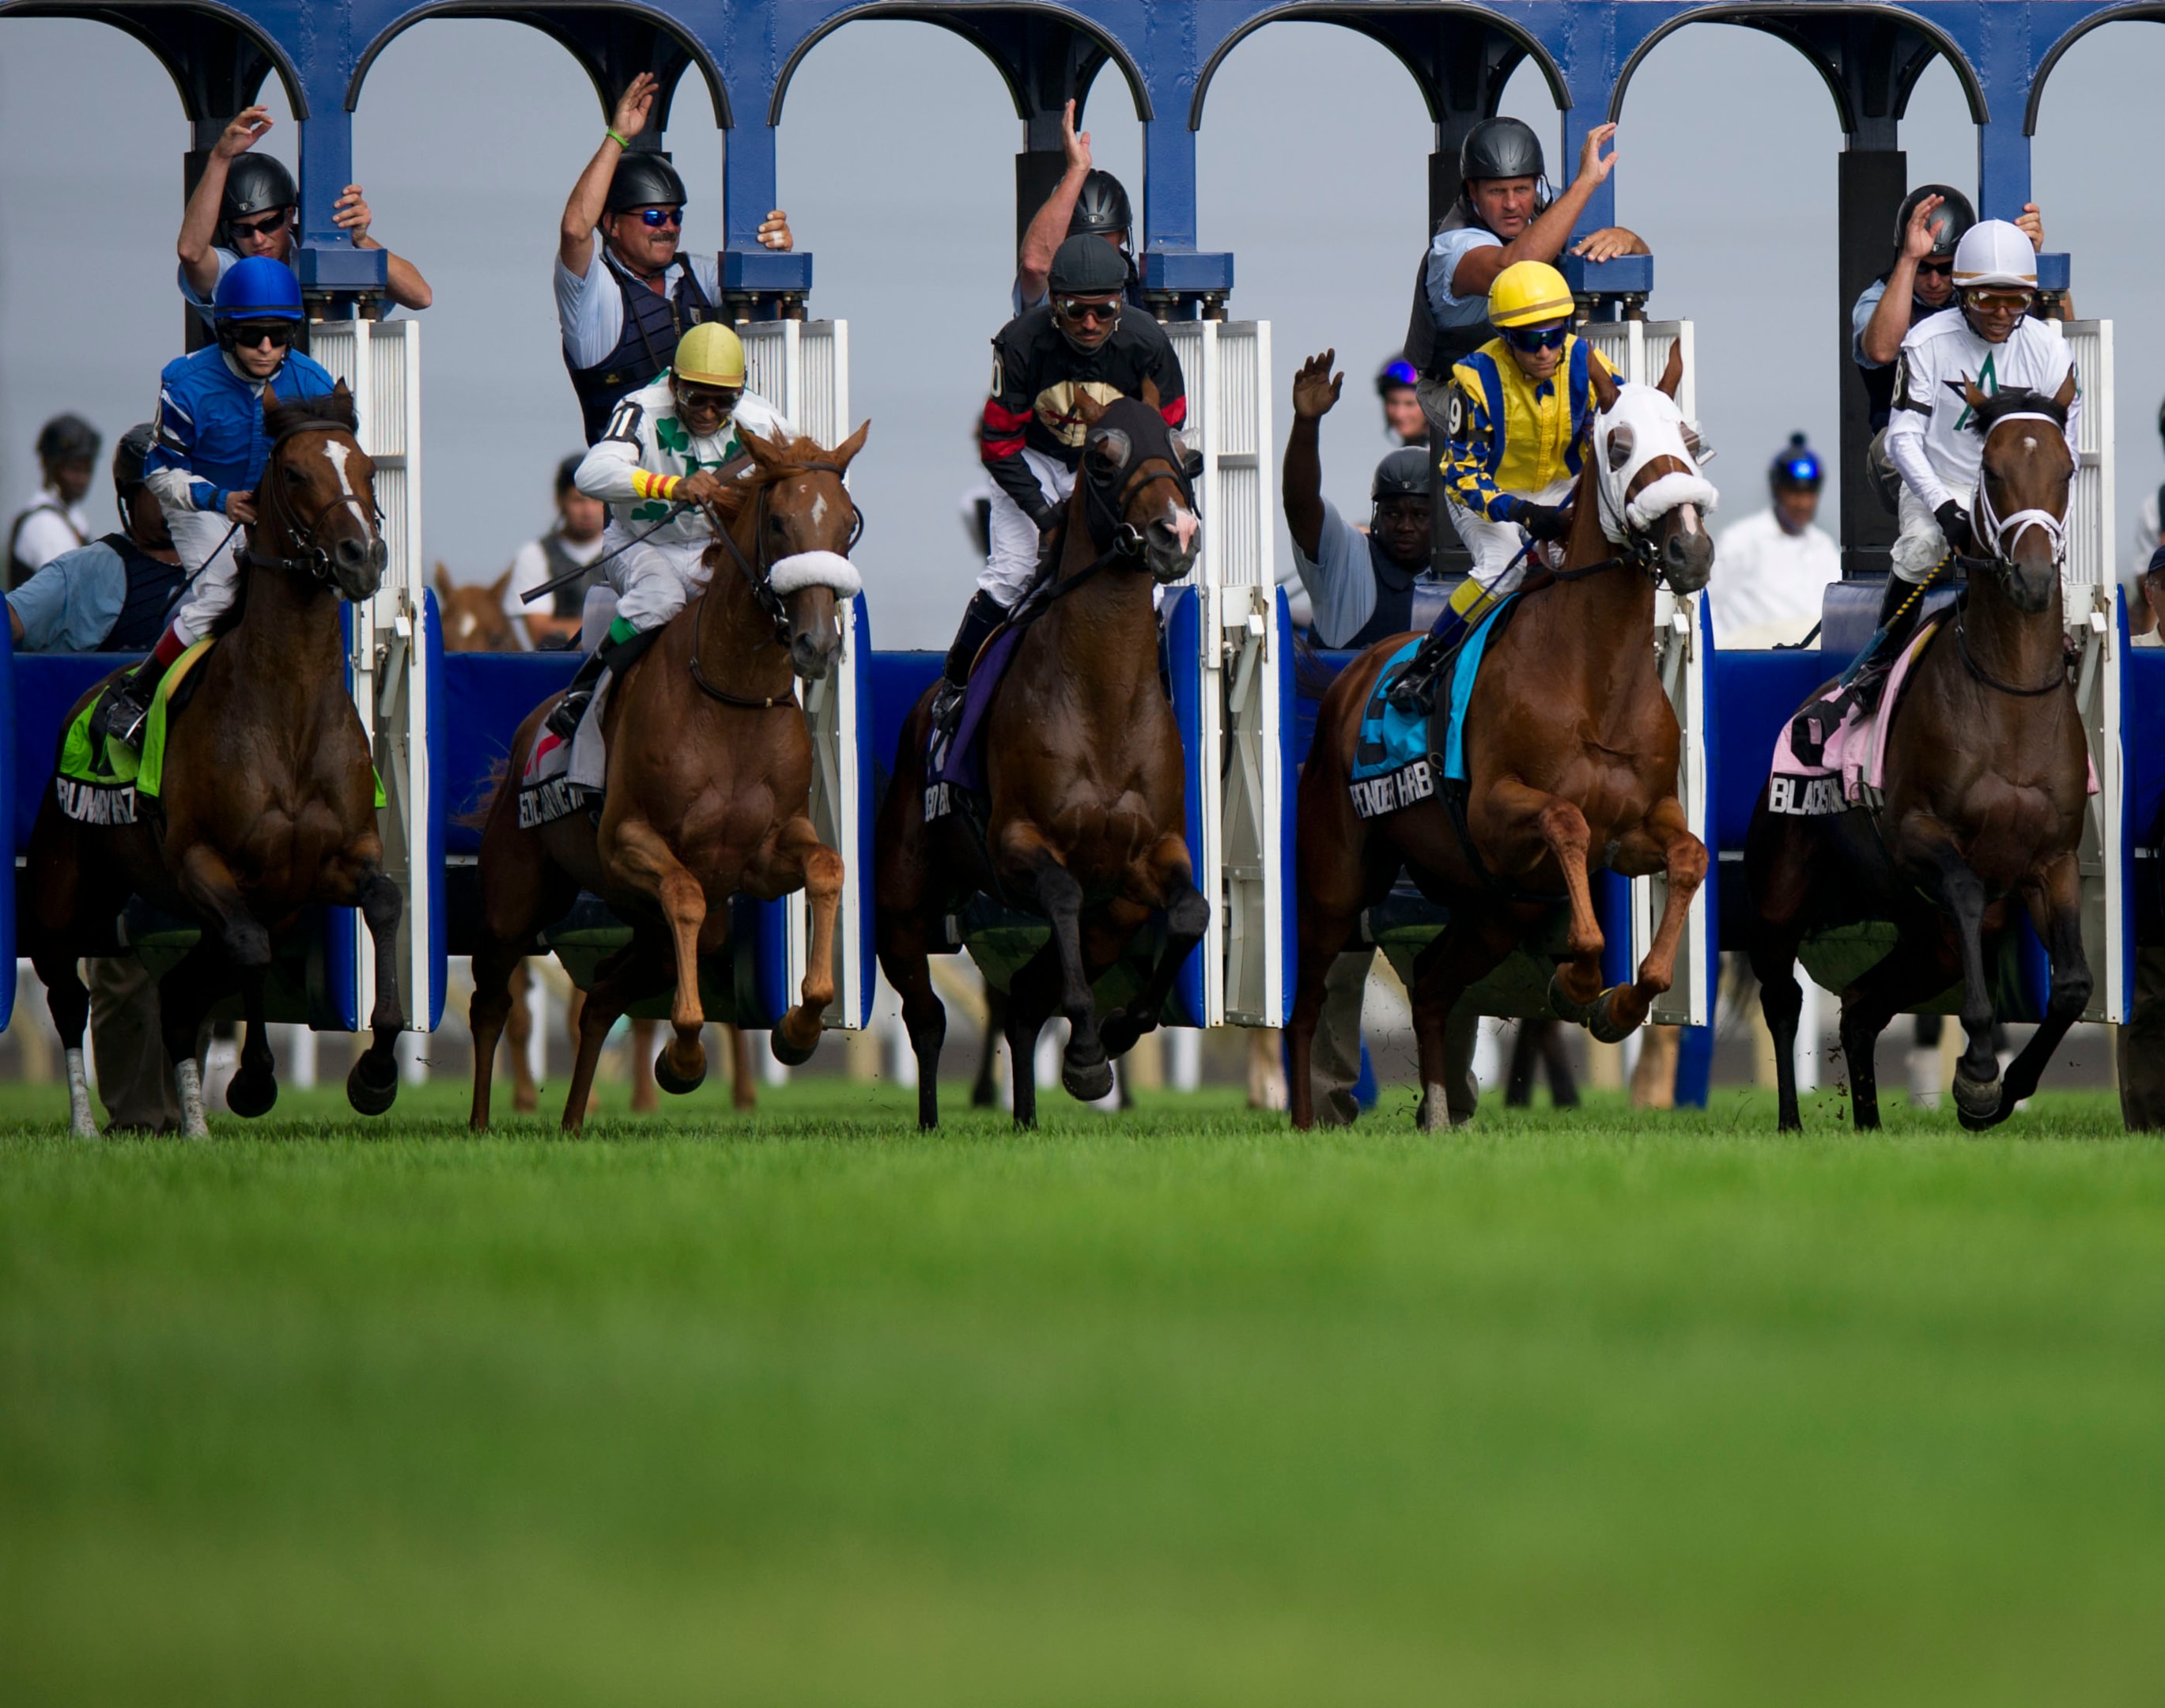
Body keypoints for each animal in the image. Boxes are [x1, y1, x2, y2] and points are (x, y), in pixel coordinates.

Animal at [26, 383, 406, 1134]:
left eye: (367, 470)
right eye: (295, 473)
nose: (362, 558)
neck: (289, 708)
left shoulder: (336, 859)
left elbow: (384, 903)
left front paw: (377, 1073)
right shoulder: (206, 865)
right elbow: (251, 952)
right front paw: (256, 1079)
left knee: (176, 995)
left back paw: (195, 1127)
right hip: (65, 890)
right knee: (66, 995)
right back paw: (84, 1122)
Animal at [467, 420, 870, 1125]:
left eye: (848, 523)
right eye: (780, 522)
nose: (818, 644)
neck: (732, 698)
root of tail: (524, 736)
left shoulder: (766, 852)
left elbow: (826, 868)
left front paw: (799, 1029)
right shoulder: (629, 841)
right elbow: (683, 893)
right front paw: (683, 1058)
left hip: (657, 933)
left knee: (603, 994)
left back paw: (573, 1120)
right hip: (516, 897)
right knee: (492, 1002)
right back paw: (477, 1118)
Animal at [883, 394, 1221, 1125]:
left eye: (1189, 459)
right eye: (1103, 457)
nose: (1176, 532)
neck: (1103, 701)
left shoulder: (1154, 854)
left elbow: (1192, 913)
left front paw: (1113, 1036)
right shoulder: (1018, 843)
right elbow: (1062, 890)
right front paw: (1091, 1056)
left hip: (1111, 924)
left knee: (1022, 1004)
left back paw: (1026, 1115)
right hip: (903, 903)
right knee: (927, 1016)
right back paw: (930, 1120)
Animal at [1281, 350, 1723, 1125]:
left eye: (1690, 441)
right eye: (1618, 446)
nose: (1689, 548)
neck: (1594, 676)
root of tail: (1352, 672)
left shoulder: (1639, 823)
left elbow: (1690, 856)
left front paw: (1621, 1001)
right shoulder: (1494, 812)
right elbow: (1566, 821)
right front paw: (1578, 980)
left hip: (1493, 909)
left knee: (1431, 983)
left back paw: (1436, 1110)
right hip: (1336, 883)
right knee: (1307, 1006)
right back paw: (1307, 1120)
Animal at [1749, 379, 2087, 1125]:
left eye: (2065, 470)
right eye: (1993, 471)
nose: (2031, 577)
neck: (2011, 697)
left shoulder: (2054, 859)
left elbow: (2075, 986)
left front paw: (2006, 1090)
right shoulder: (1919, 835)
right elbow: (1964, 887)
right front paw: (1980, 1073)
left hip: (1926, 938)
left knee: (1860, 1008)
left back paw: (1871, 1124)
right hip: (1783, 884)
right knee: (1783, 997)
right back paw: (1788, 1121)